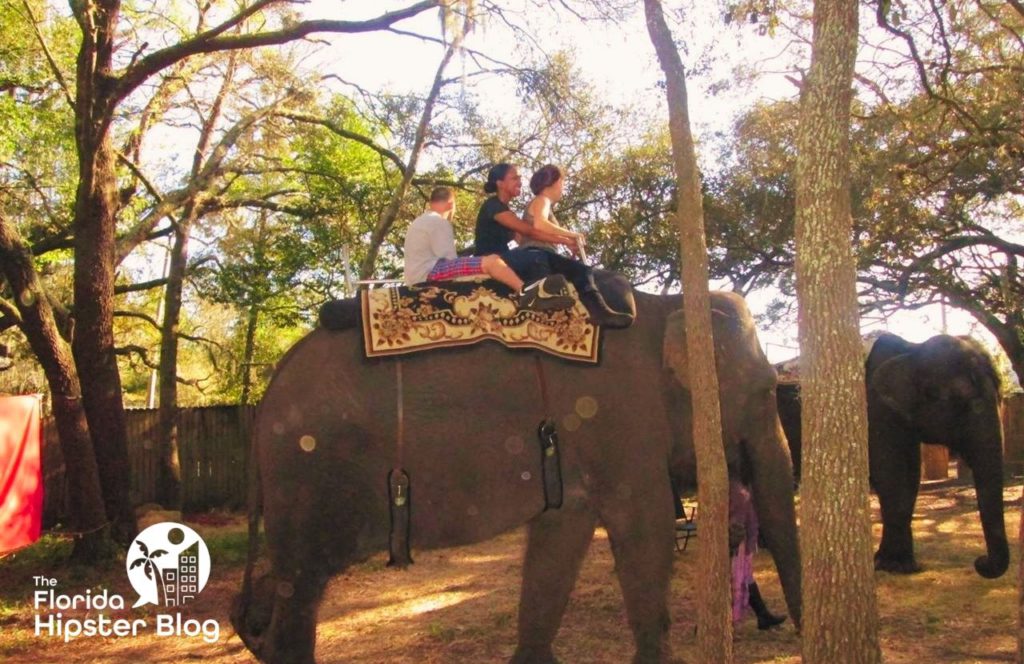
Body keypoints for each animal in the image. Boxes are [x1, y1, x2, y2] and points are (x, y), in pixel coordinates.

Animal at [230, 286, 798, 664]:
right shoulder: (621, 423)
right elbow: (645, 528)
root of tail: (265, 398)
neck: (670, 302)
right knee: (302, 584)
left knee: (288, 581)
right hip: (307, 472)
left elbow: (559, 536)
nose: (788, 631)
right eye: (768, 392)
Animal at [774, 334, 1007, 577]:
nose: (980, 562)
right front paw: (891, 565)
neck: (911, 351)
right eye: (972, 404)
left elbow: (911, 476)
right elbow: (889, 474)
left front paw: (902, 566)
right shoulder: (876, 410)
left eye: (1000, 397)